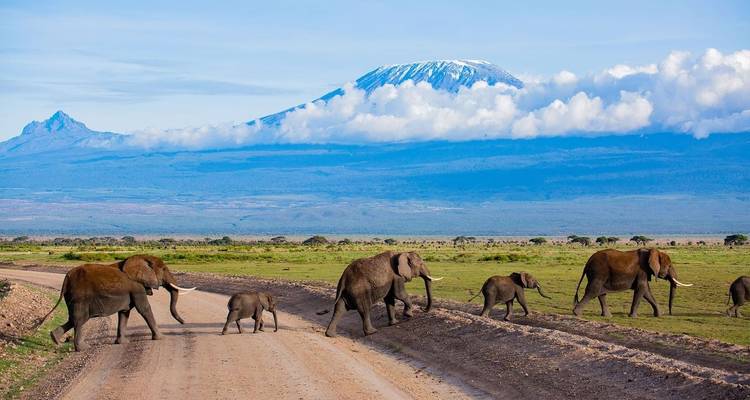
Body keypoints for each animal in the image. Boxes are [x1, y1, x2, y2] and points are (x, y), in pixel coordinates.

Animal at [40, 255, 196, 351]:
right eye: (164, 269)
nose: (184, 323)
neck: (141, 257)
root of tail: (66, 277)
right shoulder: (137, 287)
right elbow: (144, 308)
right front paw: (161, 338)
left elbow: (124, 313)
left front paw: (122, 343)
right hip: (80, 297)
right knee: (79, 319)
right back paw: (83, 348)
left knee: (73, 319)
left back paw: (55, 339)